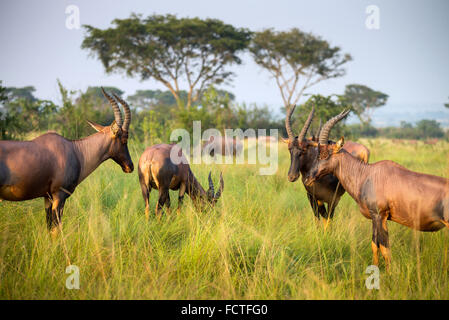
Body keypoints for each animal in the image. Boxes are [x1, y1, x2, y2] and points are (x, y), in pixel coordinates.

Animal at [0, 87, 133, 238]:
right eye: (124, 139)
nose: (130, 166)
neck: (75, 150)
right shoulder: (59, 196)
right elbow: (56, 230)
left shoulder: (47, 197)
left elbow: (49, 227)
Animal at [304, 110, 448, 270]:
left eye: (324, 154)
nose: (307, 178)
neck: (367, 174)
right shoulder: (375, 216)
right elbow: (375, 245)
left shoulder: (380, 215)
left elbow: (385, 248)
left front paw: (390, 273)